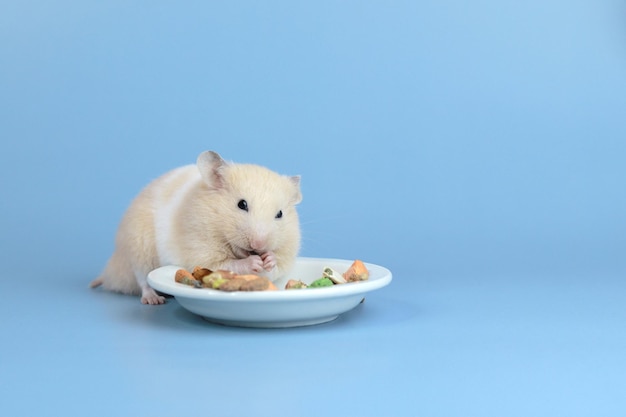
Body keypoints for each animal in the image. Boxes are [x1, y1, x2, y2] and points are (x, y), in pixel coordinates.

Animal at [89, 151, 302, 304]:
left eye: (280, 214)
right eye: (242, 204)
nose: (259, 245)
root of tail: (112, 270)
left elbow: (274, 269)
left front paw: (269, 259)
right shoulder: (201, 252)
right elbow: (226, 264)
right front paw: (254, 262)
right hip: (138, 248)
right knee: (142, 279)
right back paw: (154, 299)